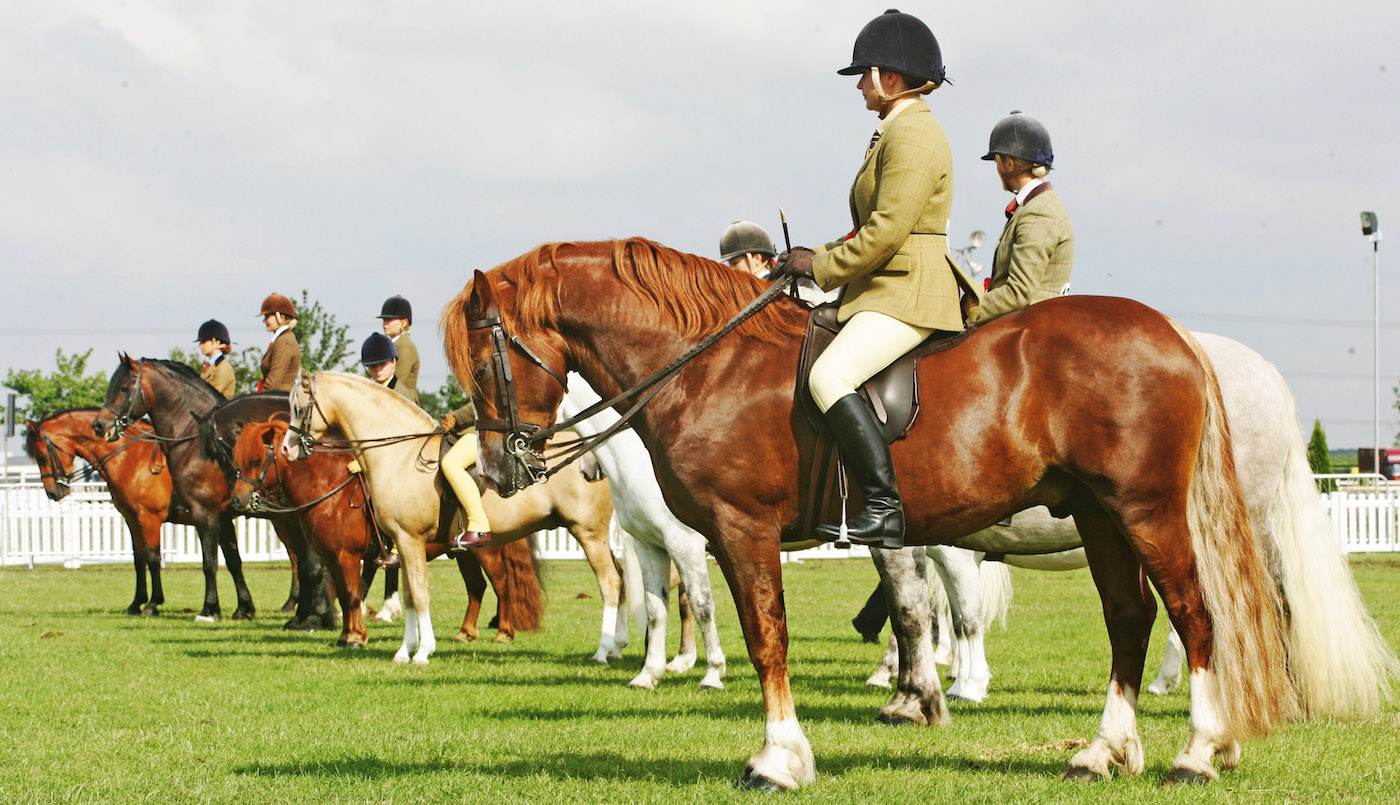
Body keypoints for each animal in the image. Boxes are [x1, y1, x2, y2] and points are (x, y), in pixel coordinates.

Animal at [24, 408, 195, 616]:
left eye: (41, 456)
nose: (52, 493)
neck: (132, 458)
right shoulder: (133, 520)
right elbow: (139, 559)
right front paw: (136, 603)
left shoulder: (149, 519)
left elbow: (153, 559)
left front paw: (153, 603)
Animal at [281, 371, 623, 666]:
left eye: (298, 408)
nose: (287, 448)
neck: (399, 455)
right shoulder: (405, 546)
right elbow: (409, 596)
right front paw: (404, 652)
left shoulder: (408, 541)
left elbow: (420, 596)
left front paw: (423, 652)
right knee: (620, 580)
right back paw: (618, 646)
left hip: (588, 533)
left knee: (609, 583)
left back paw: (602, 651)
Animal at [562, 376, 727, 690]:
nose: (586, 471)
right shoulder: (652, 544)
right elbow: (660, 606)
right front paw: (655, 668)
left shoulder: (685, 543)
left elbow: (700, 605)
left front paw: (711, 672)